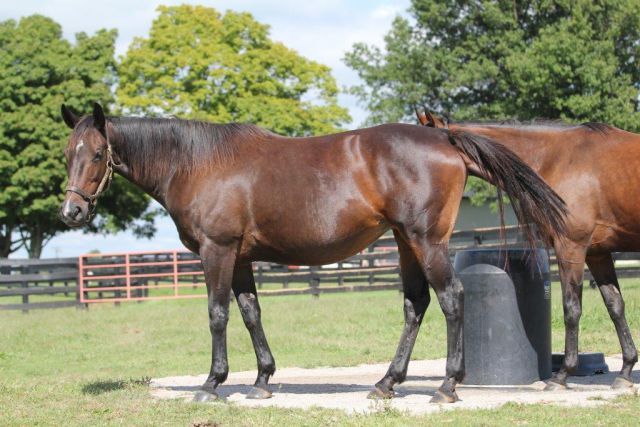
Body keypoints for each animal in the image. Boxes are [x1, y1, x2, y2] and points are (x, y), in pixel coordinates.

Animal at [58, 103, 564, 404]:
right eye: (68, 152)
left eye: (98, 153)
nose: (71, 211)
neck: (198, 164)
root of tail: (444, 138)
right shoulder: (241, 258)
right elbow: (251, 313)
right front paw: (262, 381)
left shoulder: (217, 252)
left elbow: (218, 315)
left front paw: (212, 383)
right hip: (405, 242)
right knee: (415, 305)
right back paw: (386, 383)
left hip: (427, 241)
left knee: (452, 298)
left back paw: (446, 386)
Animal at [418, 109, 636, 392]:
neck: (559, 158)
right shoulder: (597, 254)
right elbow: (615, 306)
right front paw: (626, 370)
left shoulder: (571, 248)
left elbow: (571, 309)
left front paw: (561, 375)